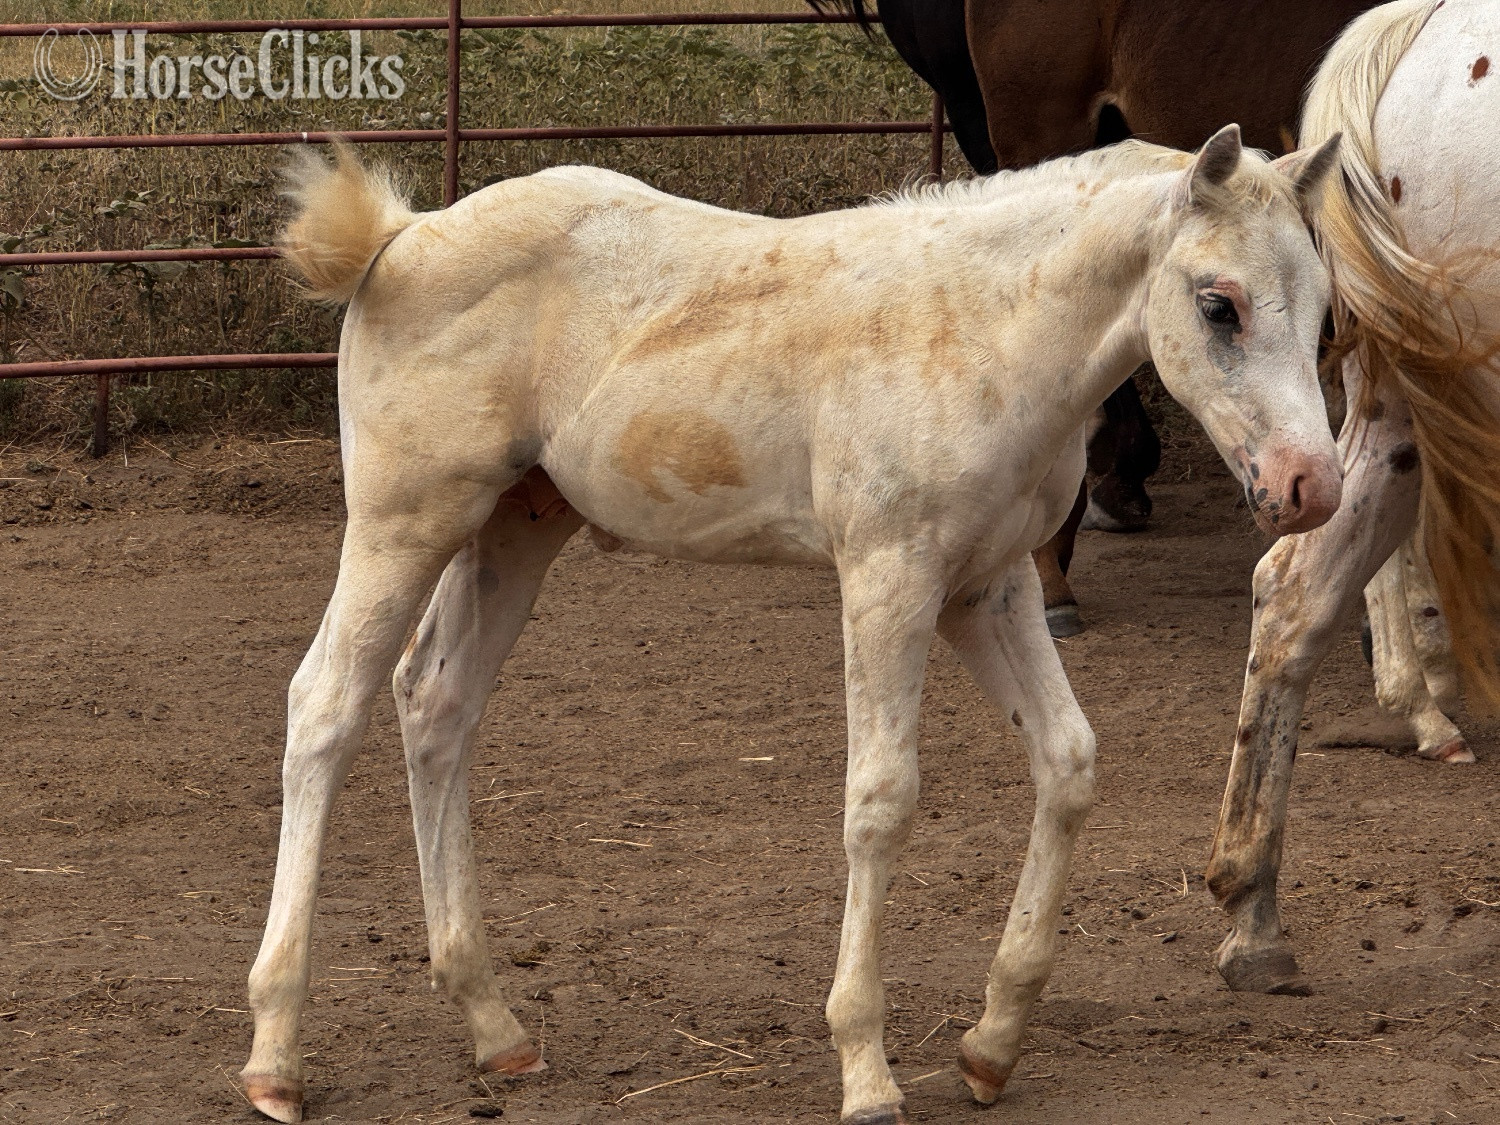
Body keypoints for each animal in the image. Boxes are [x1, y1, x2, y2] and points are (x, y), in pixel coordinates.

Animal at [240, 131, 1342, 1123]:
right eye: (1219, 303)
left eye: (1326, 307)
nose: (1311, 486)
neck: (984, 328)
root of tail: (402, 237)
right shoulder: (888, 579)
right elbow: (881, 800)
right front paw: (867, 1072)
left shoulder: (988, 589)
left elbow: (1068, 761)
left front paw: (991, 1046)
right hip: (404, 522)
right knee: (324, 706)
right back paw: (276, 1056)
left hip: (516, 526)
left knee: (436, 703)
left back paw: (494, 1028)